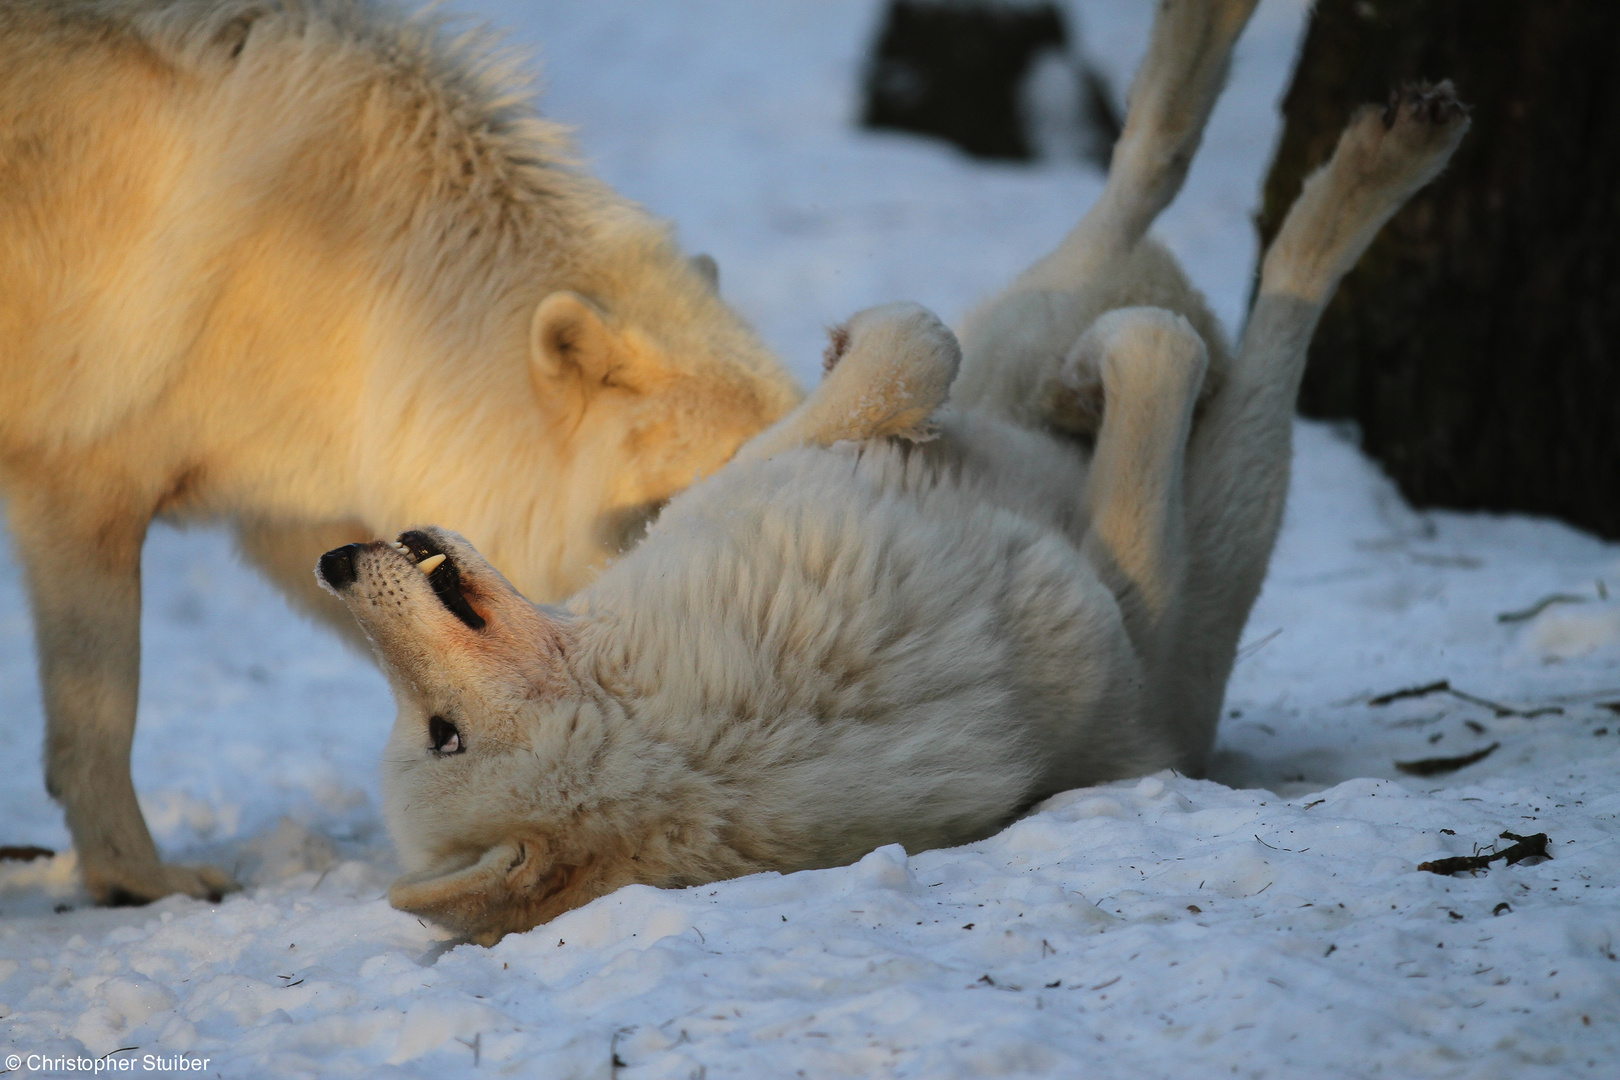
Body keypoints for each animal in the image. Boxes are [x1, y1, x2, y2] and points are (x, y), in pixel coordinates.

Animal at [319, 0, 1470, 945]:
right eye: (441, 736)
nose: (335, 564)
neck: (699, 720)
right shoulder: (1131, 611)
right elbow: (1005, 345)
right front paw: (1097, 366)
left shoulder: (734, 489)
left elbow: (906, 356)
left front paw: (863, 356)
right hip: (1224, 542)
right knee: (1226, 254)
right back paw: (1386, 146)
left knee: (1141, 188)